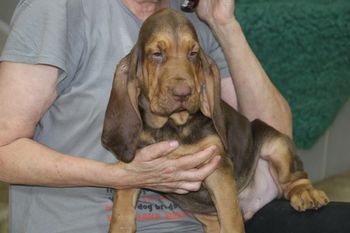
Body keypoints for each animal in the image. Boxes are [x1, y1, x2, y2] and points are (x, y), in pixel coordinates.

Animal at [101, 8, 328, 233]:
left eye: (193, 53)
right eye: (157, 54)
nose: (183, 93)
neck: (172, 126)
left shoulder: (218, 168)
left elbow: (230, 218)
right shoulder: (139, 168)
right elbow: (122, 207)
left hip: (275, 142)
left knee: (293, 178)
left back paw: (306, 193)